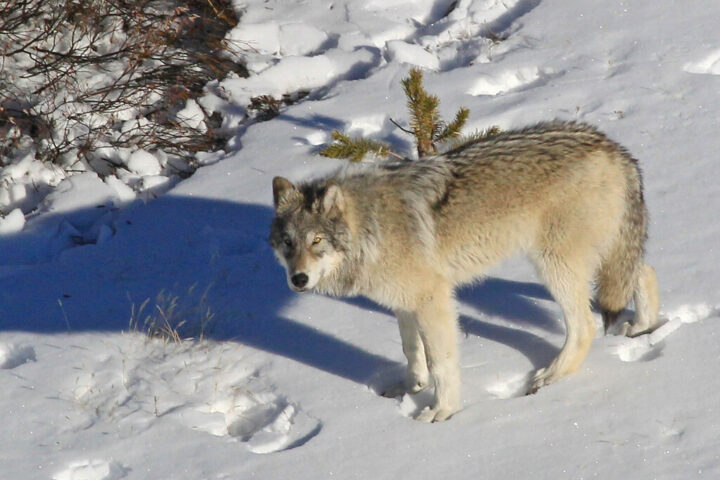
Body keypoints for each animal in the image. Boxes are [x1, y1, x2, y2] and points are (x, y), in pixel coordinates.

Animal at [268, 122, 660, 422]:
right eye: (288, 243)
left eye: (317, 241)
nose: (298, 279)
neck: (371, 226)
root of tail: (613, 147)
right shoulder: (404, 302)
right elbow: (411, 350)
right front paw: (411, 388)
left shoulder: (433, 299)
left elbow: (441, 362)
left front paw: (442, 411)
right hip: (601, 255)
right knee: (645, 271)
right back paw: (643, 326)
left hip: (554, 265)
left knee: (585, 326)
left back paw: (550, 376)